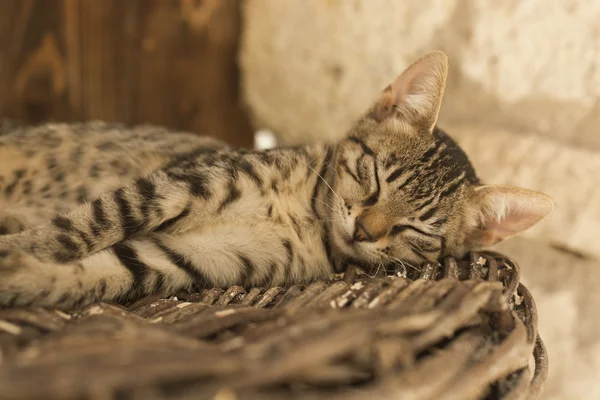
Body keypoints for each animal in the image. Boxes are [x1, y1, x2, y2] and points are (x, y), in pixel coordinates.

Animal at [0, 51, 552, 310]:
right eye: (373, 175)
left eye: (415, 230)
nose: (364, 230)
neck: (304, 215)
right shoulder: (178, 184)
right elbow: (87, 225)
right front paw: (26, 248)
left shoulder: (197, 258)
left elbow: (98, 269)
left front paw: (22, 272)